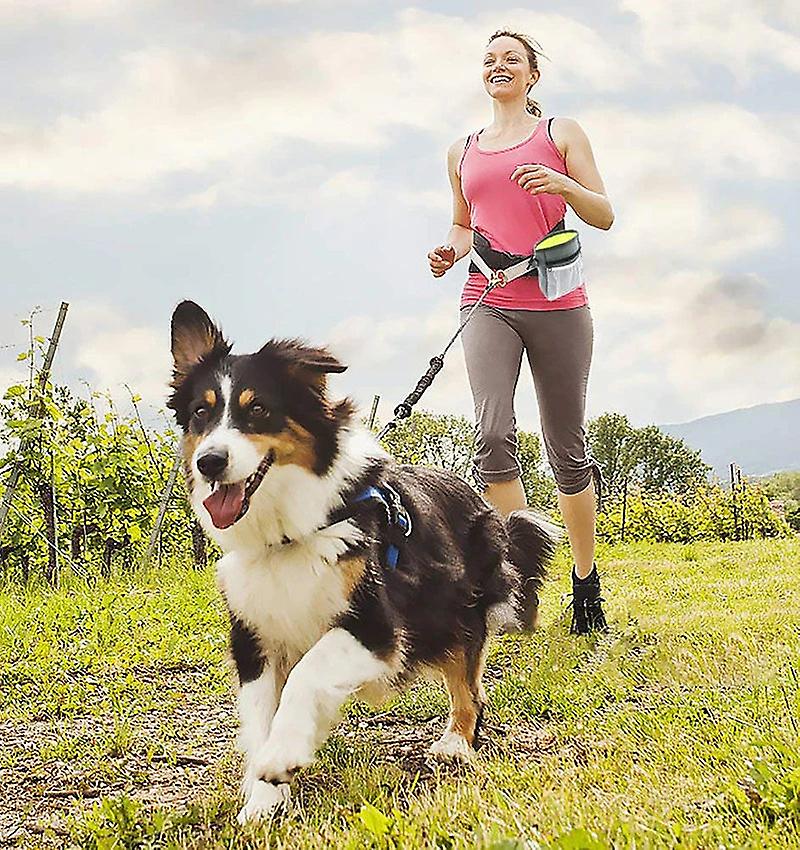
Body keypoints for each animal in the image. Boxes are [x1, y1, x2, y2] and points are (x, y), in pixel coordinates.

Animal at [169, 300, 556, 820]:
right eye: (201, 413)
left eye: (259, 410)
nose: (209, 462)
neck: (290, 532)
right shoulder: (254, 635)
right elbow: (261, 714)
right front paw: (263, 800)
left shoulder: (376, 626)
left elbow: (308, 674)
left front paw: (281, 756)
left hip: (456, 608)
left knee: (467, 685)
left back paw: (456, 742)